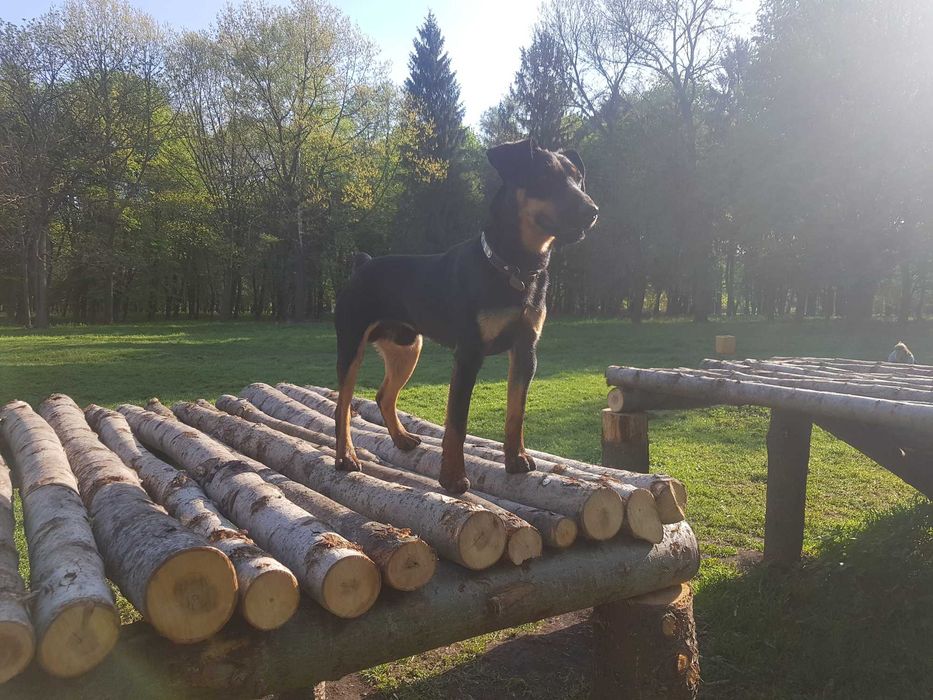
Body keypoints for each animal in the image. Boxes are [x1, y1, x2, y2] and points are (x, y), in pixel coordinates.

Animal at [333, 138, 599, 493]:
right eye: (544, 177)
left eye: (577, 178)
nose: (592, 211)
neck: (515, 267)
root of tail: (362, 264)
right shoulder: (469, 354)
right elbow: (457, 421)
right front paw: (453, 478)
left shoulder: (526, 350)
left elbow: (516, 412)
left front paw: (516, 460)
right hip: (352, 346)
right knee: (343, 407)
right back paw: (346, 458)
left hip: (407, 348)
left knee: (384, 395)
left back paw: (402, 439)